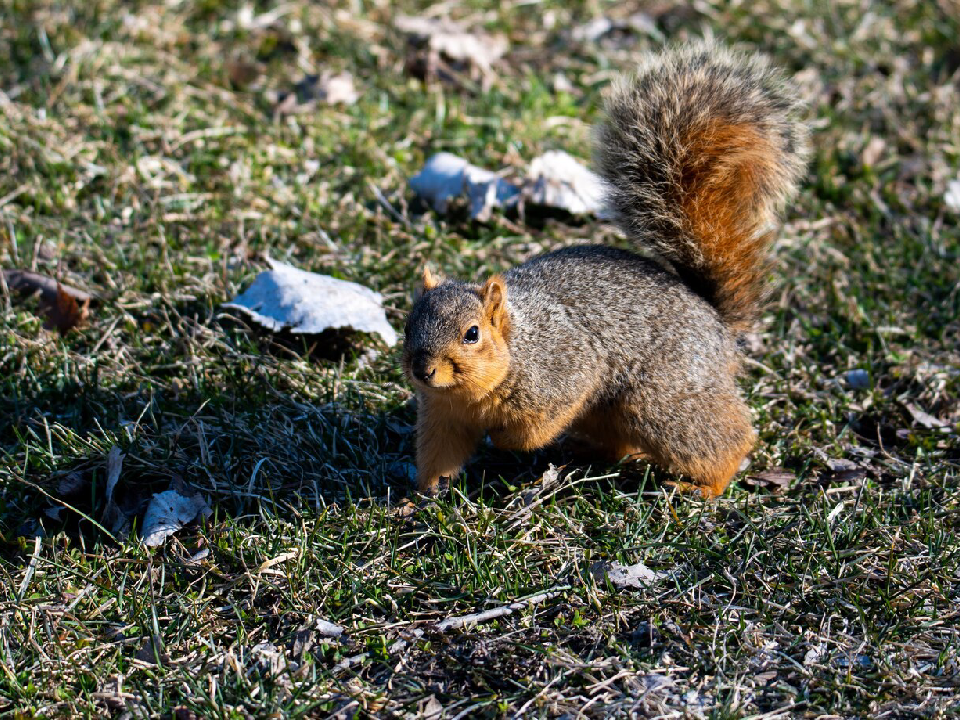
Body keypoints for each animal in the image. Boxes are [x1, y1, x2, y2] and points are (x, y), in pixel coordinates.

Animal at [402, 42, 808, 498]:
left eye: (472, 334)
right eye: (408, 324)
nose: (422, 370)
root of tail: (716, 321)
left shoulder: (566, 371)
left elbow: (533, 428)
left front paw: (503, 440)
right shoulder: (443, 415)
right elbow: (439, 452)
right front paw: (420, 495)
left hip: (660, 400)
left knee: (725, 439)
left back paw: (703, 486)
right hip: (612, 412)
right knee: (622, 445)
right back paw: (585, 450)